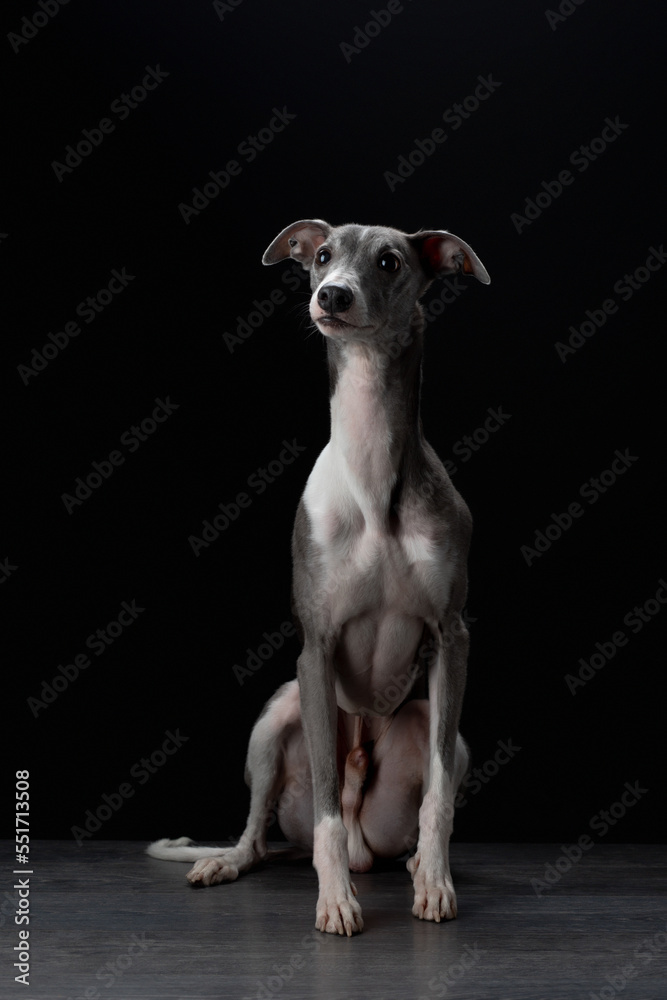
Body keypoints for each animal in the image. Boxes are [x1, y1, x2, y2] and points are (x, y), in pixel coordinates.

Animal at [147, 221, 490, 936]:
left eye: (389, 261)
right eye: (324, 255)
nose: (331, 296)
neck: (374, 477)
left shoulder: (453, 637)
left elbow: (439, 798)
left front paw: (436, 885)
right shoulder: (317, 646)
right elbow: (328, 802)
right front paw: (334, 901)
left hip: (439, 729)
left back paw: (416, 864)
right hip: (276, 716)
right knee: (262, 833)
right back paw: (229, 861)